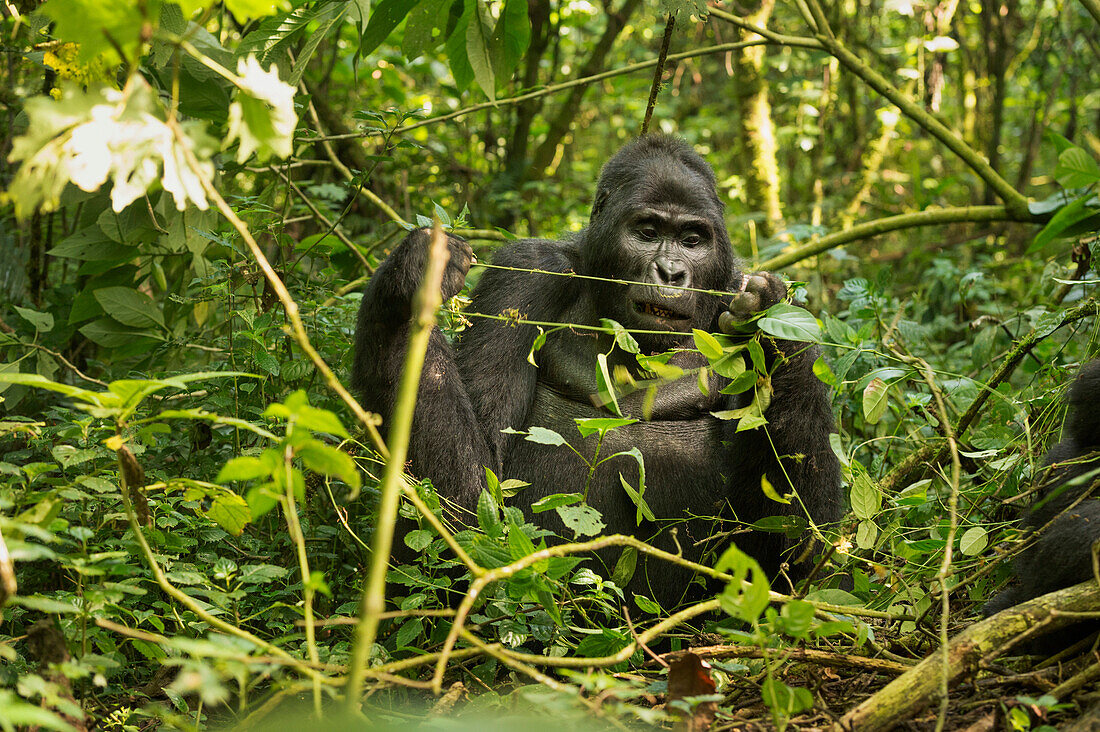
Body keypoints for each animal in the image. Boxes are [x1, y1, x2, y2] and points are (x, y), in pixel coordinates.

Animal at [352, 135, 840, 598]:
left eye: (692, 240)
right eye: (647, 232)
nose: (670, 272)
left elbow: (796, 554)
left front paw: (773, 326)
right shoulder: (525, 274)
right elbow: (473, 506)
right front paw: (406, 287)